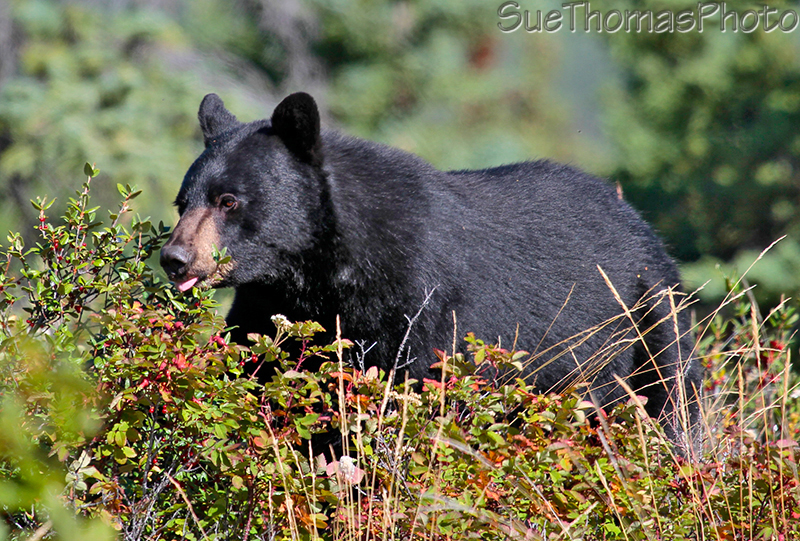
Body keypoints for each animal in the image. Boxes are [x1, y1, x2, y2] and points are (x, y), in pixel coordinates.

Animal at [160, 92, 702, 451]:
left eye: (229, 201)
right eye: (182, 201)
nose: (175, 258)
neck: (324, 271)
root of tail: (635, 218)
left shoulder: (423, 303)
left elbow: (417, 392)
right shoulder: (270, 303)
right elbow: (253, 369)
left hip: (648, 312)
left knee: (674, 397)